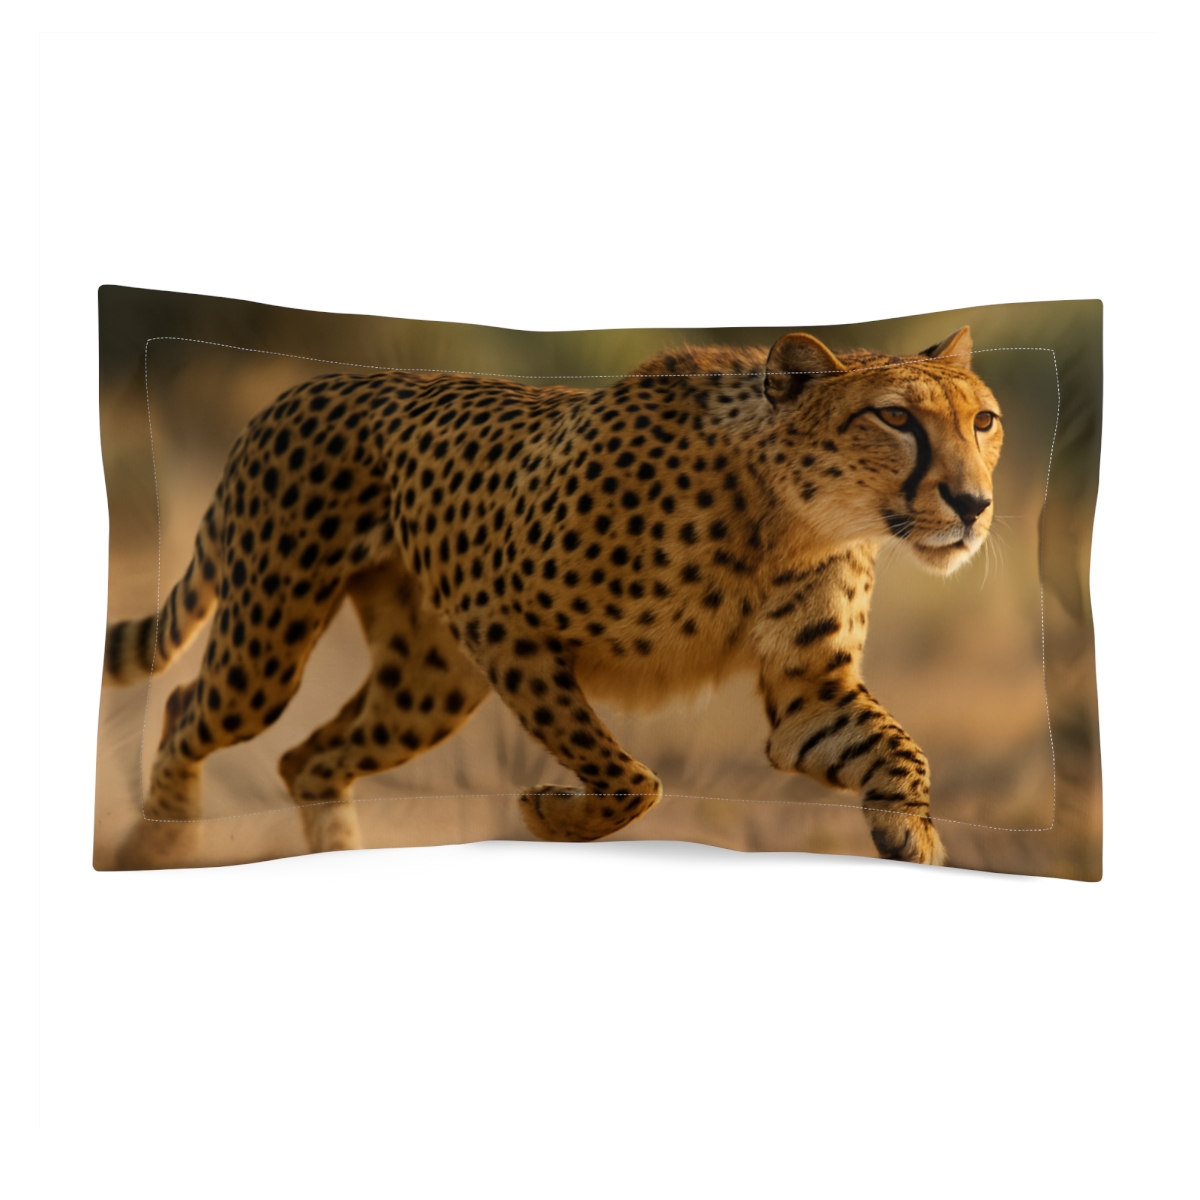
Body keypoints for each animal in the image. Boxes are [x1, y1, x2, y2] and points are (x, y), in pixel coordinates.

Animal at [103, 325, 1002, 869]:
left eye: (984, 421)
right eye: (895, 418)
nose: (974, 505)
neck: (786, 512)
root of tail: (293, 393)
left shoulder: (808, 694)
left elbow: (900, 750)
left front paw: (911, 836)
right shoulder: (501, 622)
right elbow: (634, 777)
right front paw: (549, 813)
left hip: (428, 683)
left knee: (307, 757)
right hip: (273, 645)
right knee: (186, 708)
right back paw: (161, 842)